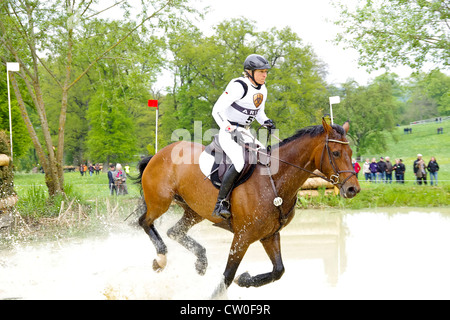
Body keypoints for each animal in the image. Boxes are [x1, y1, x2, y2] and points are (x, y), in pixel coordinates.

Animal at [135, 118, 360, 298]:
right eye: (336, 153)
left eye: (350, 152)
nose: (353, 189)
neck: (274, 180)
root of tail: (158, 153)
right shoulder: (243, 236)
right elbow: (227, 276)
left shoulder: (269, 235)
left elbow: (278, 270)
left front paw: (244, 279)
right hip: (160, 201)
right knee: (144, 222)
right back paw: (161, 258)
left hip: (194, 211)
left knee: (174, 231)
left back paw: (200, 261)